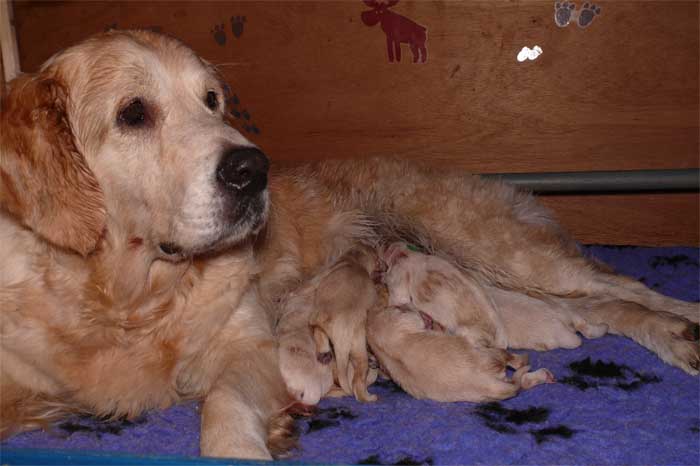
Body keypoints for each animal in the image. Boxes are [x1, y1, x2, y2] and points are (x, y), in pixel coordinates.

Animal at [1, 30, 698, 460]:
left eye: (213, 100)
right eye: (133, 113)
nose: (253, 169)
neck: (126, 296)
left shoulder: (252, 346)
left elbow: (223, 404)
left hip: (490, 244)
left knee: (624, 286)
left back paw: (684, 327)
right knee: (599, 308)